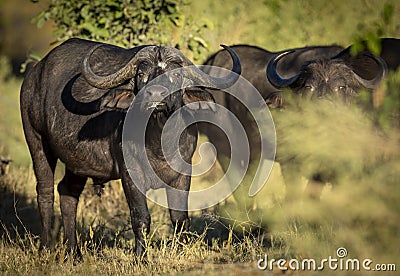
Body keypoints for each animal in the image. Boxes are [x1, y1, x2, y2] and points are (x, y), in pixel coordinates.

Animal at [21, 37, 241, 260]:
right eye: (141, 74)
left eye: (176, 74)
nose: (156, 94)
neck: (159, 141)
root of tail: (35, 72)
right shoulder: (130, 175)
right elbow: (141, 218)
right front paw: (141, 257)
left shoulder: (182, 174)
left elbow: (180, 218)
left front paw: (179, 251)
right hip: (37, 141)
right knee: (45, 192)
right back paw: (45, 248)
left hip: (77, 163)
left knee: (67, 193)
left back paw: (75, 253)